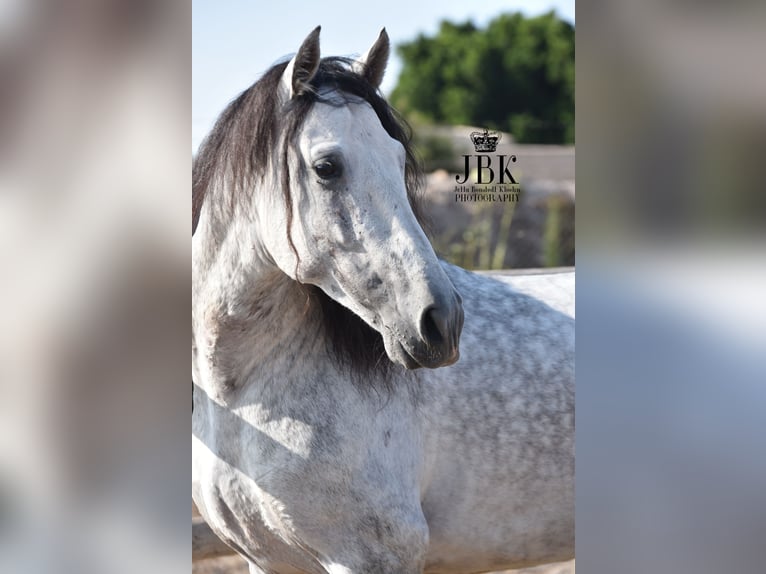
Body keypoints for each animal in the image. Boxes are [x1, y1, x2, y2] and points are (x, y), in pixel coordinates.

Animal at [194, 27, 576, 574]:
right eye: (326, 167)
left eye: (398, 160)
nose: (442, 323)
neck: (240, 396)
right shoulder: (267, 560)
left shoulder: (371, 556)